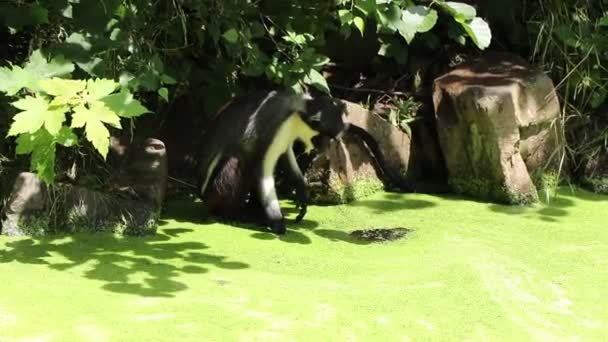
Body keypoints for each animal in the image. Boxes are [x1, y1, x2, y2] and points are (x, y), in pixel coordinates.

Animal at [197, 90, 350, 235]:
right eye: (321, 138)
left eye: (331, 139)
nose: (324, 148)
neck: (296, 111)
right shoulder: (273, 130)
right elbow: (263, 173)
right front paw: (277, 222)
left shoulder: (285, 137)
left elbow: (285, 155)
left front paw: (301, 191)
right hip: (214, 193)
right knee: (239, 159)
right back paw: (231, 213)